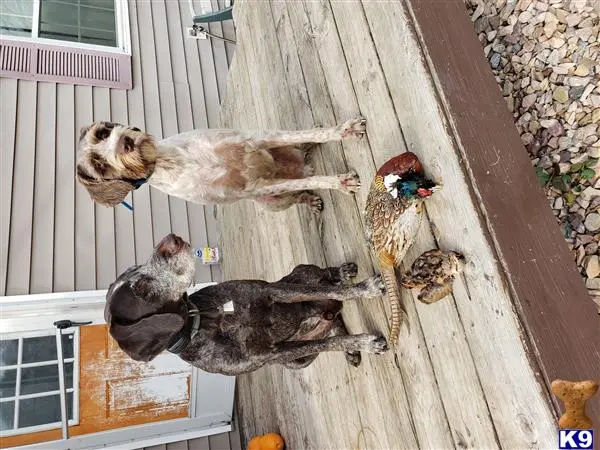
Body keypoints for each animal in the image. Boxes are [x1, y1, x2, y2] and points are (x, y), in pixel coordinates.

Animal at [77, 118, 368, 212]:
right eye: (99, 166)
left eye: (103, 132)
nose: (125, 141)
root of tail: (299, 165)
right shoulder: (255, 188)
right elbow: (312, 181)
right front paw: (340, 182)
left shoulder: (256, 138)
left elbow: (302, 134)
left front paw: (344, 131)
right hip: (271, 203)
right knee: (297, 190)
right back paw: (308, 199)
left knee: (301, 147)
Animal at [104, 234, 390, 374]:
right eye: (141, 288)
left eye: (136, 268)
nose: (169, 239)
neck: (206, 322)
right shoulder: (274, 354)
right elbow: (330, 343)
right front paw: (362, 343)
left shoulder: (273, 290)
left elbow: (334, 291)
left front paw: (366, 289)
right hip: (297, 362)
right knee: (330, 327)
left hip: (303, 273)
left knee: (326, 281)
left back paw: (341, 273)